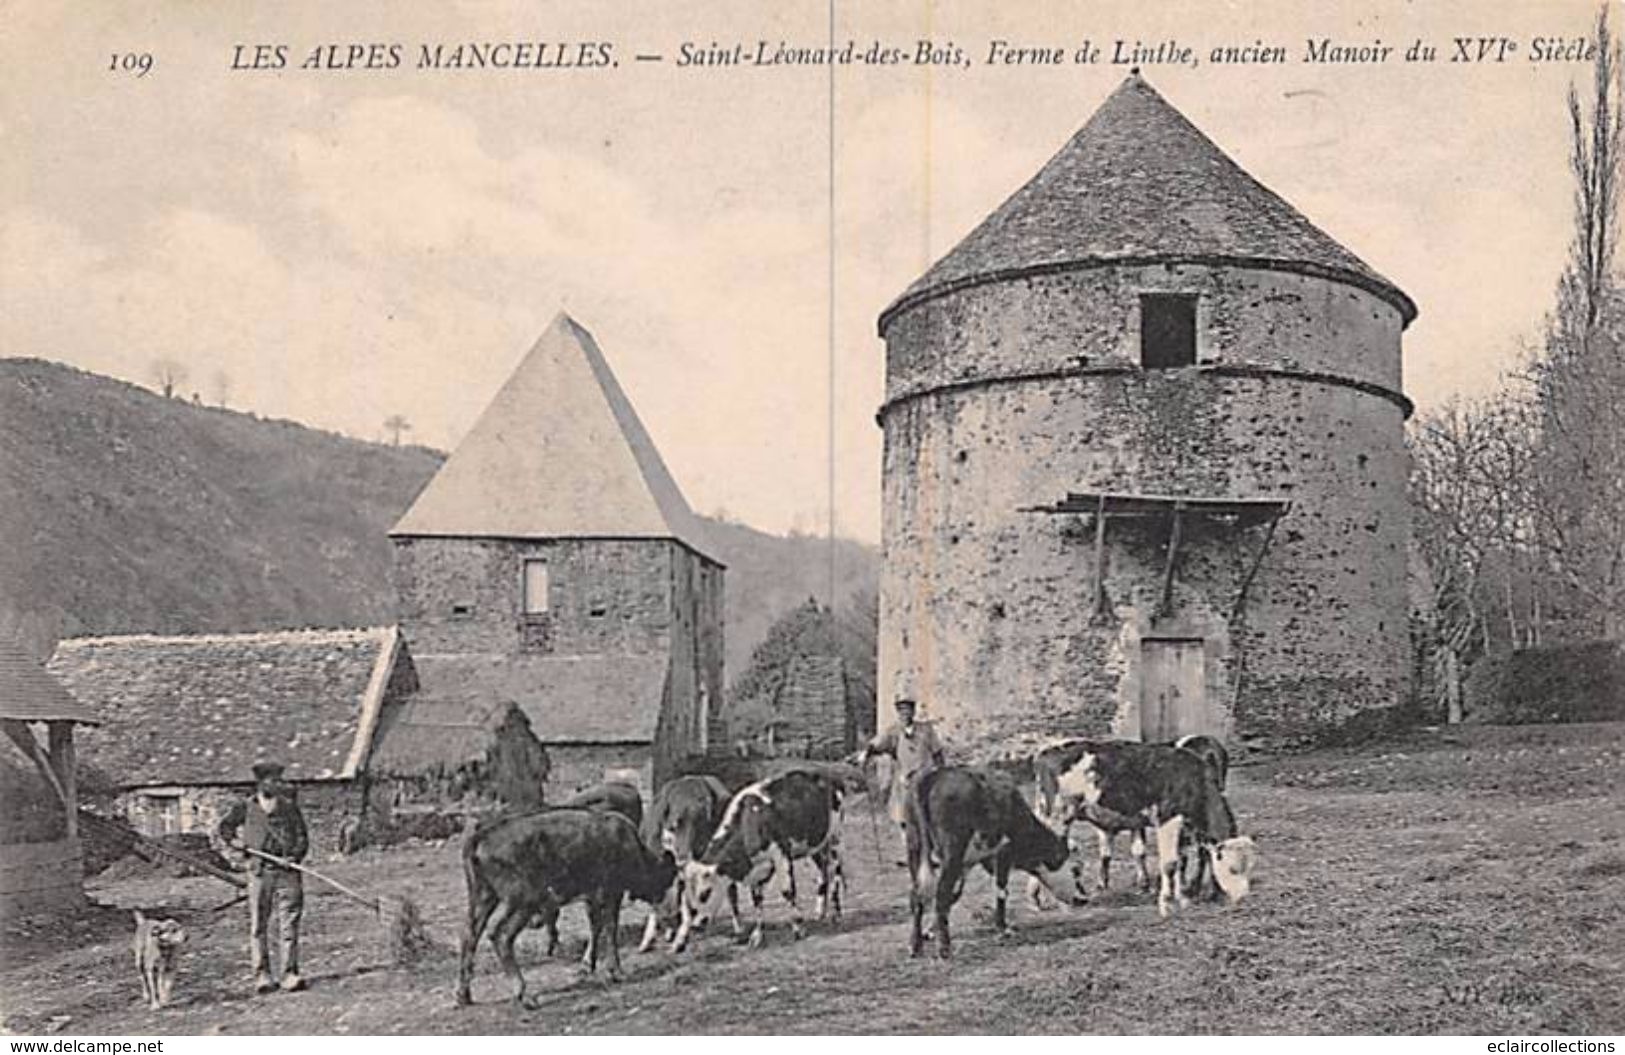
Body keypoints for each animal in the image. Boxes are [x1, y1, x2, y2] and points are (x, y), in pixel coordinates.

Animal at [458, 806, 679, 1001]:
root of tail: (480, 838)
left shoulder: (592, 896)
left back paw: (464, 996)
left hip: (483, 898)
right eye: (665, 878)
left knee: (470, 936)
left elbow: (596, 926)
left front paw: (587, 965)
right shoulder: (611, 893)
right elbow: (610, 928)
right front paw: (616, 971)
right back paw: (524, 994)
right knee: (500, 935)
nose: (668, 913)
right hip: (522, 902)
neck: (628, 843)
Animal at [633, 770, 744, 949]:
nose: (683, 858)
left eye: (701, 823)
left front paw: (680, 938)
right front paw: (650, 939)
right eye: (674, 824)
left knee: (729, 890)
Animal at [679, 764, 845, 949]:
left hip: (834, 837)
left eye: (706, 892)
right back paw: (820, 911)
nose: (695, 926)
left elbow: (787, 890)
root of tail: (828, 774)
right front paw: (757, 935)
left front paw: (798, 927)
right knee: (823, 871)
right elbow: (757, 899)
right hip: (815, 844)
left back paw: (836, 913)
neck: (750, 819)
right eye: (687, 895)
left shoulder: (781, 853)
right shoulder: (757, 866)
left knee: (836, 870)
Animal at [903, 760, 1092, 955]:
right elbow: (1001, 890)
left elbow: (954, 895)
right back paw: (944, 948)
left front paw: (929, 931)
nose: (1083, 899)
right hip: (952, 852)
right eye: (1076, 870)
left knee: (916, 894)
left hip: (915, 847)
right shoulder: (1003, 853)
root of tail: (934, 775)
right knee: (940, 893)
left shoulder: (968, 863)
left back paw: (915, 945)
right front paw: (1003, 927)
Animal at [1027, 738, 1254, 916]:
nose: (1243, 898)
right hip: (1059, 814)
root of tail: (1046, 751)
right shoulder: (1167, 818)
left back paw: (1037, 900)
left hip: (1045, 812)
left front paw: (1182, 899)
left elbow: (1180, 859)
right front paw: (1167, 904)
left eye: (1249, 867)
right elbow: (1170, 863)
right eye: (1233, 869)